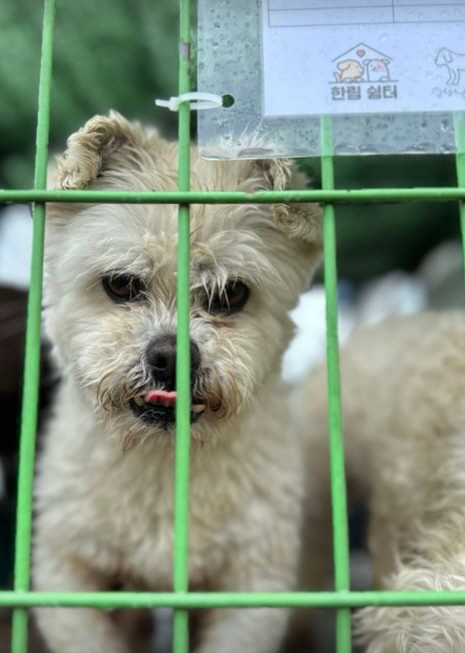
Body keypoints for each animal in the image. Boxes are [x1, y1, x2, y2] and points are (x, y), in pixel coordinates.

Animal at [31, 112, 322, 652]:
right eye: (121, 284)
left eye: (230, 294)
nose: (170, 356)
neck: (164, 463)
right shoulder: (66, 572)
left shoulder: (253, 586)